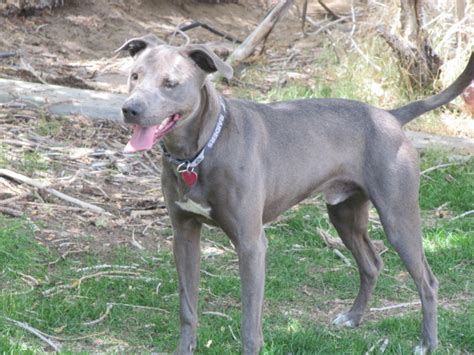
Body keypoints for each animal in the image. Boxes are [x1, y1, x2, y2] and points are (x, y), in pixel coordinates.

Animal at [115, 34, 474, 355]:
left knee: (427, 281)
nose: (129, 109)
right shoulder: (184, 234)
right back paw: (353, 318)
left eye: (170, 83)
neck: (199, 151)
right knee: (372, 264)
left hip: (398, 217)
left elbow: (250, 324)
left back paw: (427, 344)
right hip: (344, 214)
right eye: (135, 76)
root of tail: (390, 115)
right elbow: (187, 307)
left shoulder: (251, 244)